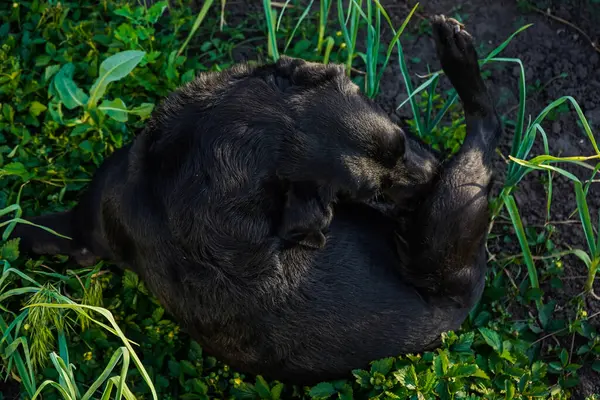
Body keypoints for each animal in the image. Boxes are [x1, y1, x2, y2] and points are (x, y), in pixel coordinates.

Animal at [8, 16, 502, 384]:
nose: (430, 176)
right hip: (453, 212)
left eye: (400, 139)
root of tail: (452, 316)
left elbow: (50, 231)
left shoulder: (90, 221)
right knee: (484, 128)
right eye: (372, 195)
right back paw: (459, 55)